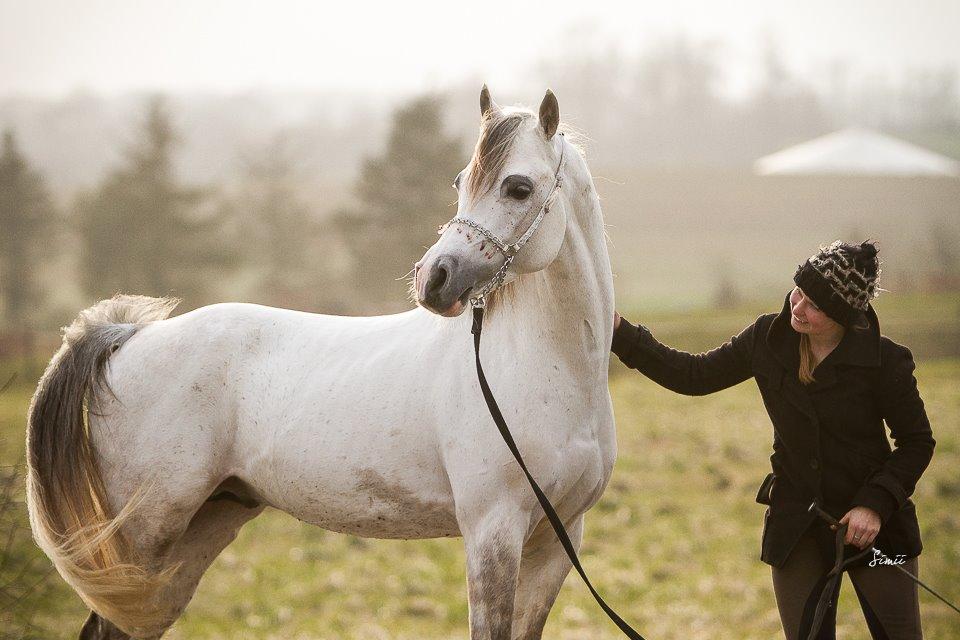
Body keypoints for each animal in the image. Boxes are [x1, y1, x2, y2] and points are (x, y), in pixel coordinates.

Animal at [30, 86, 620, 640]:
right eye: (460, 182)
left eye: (518, 187)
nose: (434, 279)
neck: (544, 369)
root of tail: (129, 338)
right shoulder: (492, 532)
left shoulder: (555, 541)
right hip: (144, 536)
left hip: (197, 531)